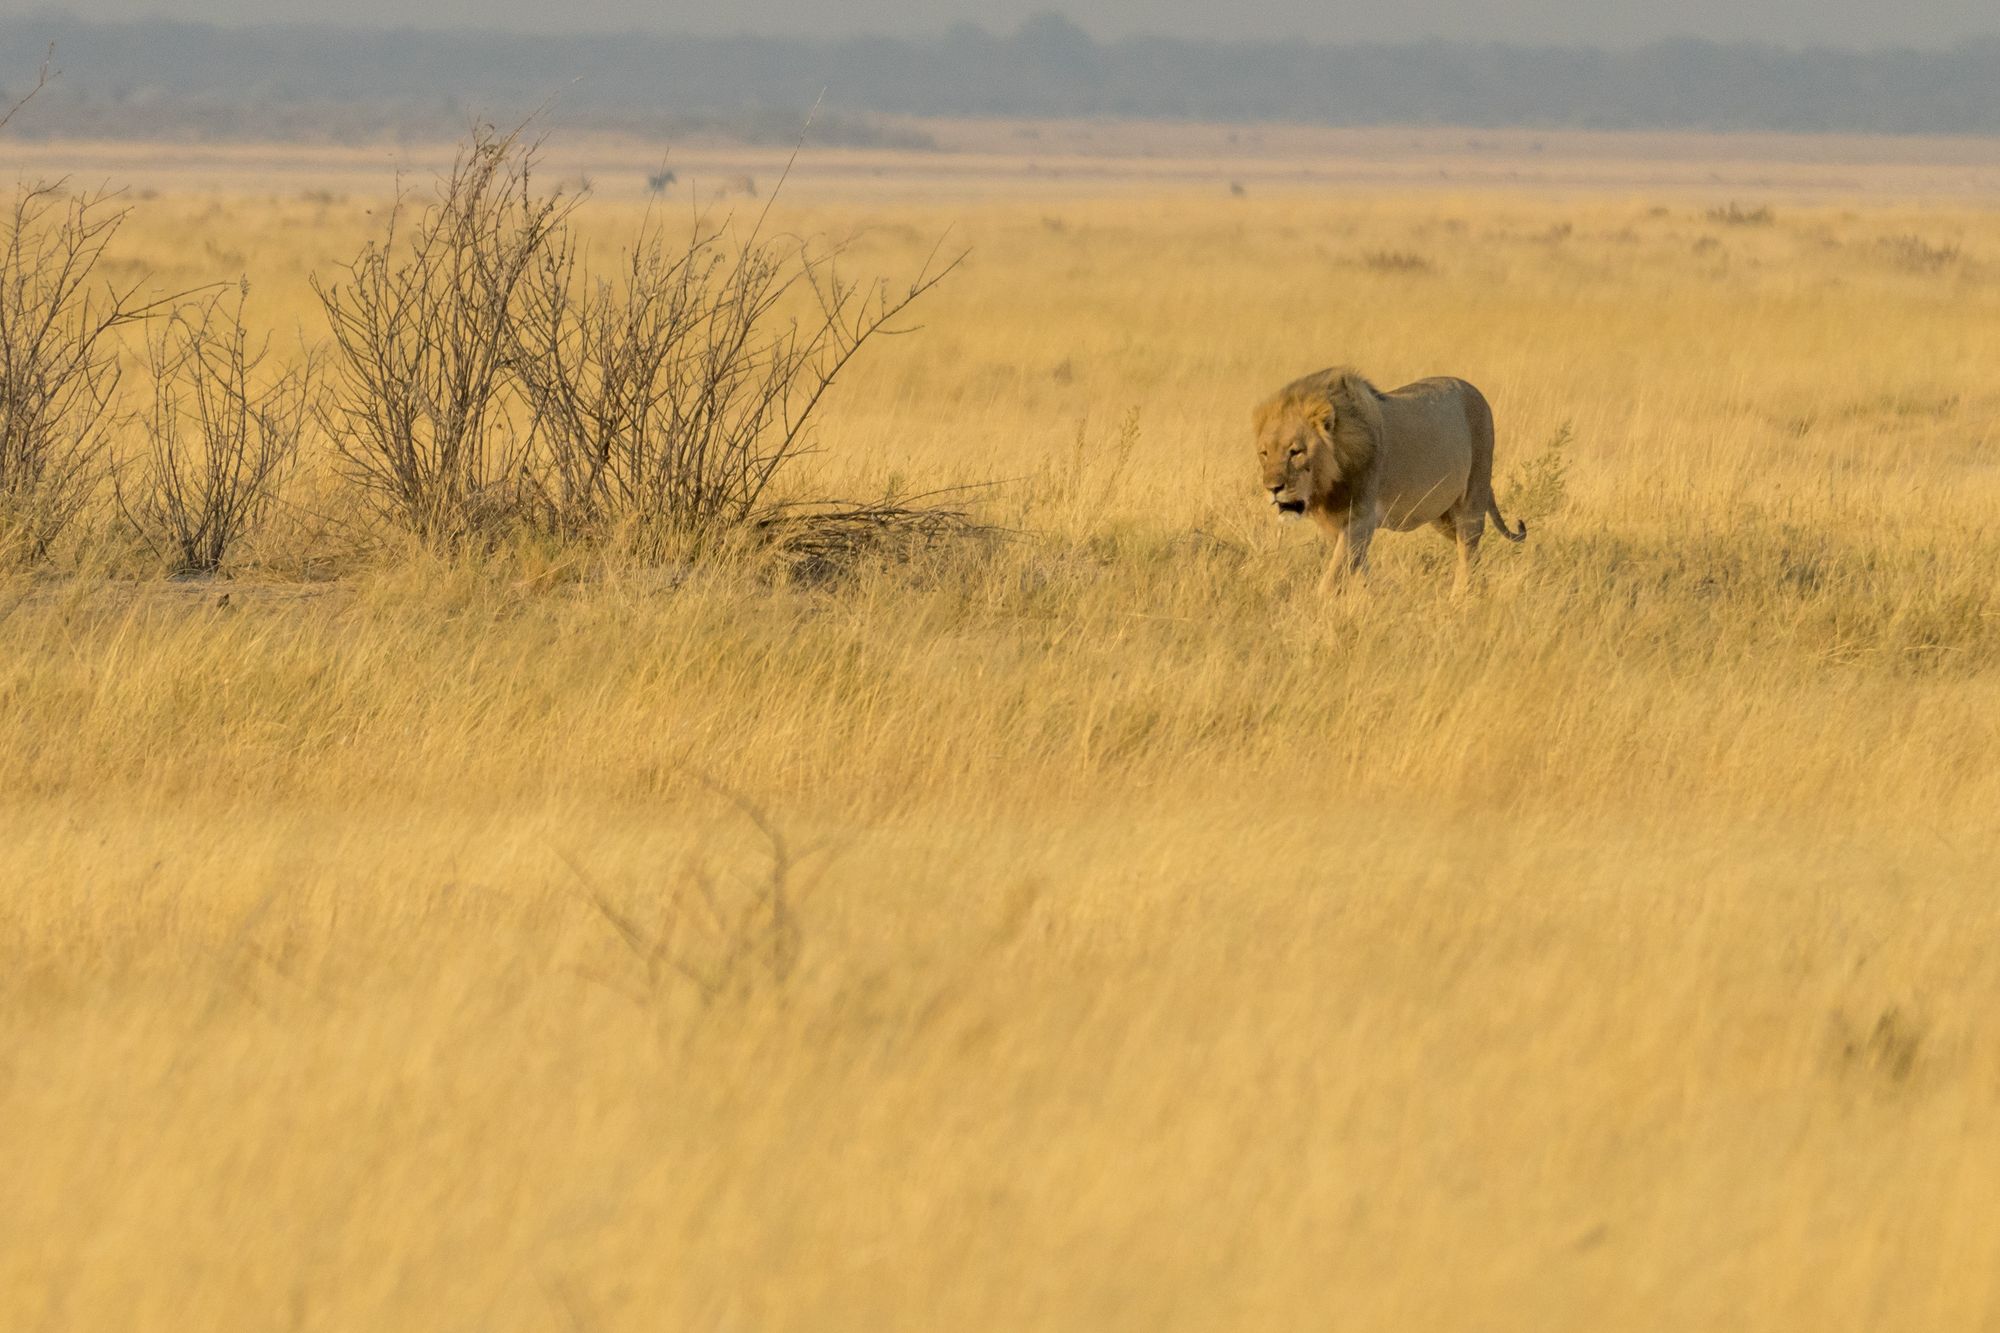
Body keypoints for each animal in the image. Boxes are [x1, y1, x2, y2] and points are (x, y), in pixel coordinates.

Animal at [1248, 366, 1528, 588]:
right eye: (1264, 453)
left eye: (1295, 452)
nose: (1272, 488)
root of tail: (1474, 390)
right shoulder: (1337, 528)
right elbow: (1358, 571)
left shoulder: (1360, 521)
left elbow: (1332, 578)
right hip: (1442, 514)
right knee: (1471, 553)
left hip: (1473, 497)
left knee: (1468, 551)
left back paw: (1460, 599)